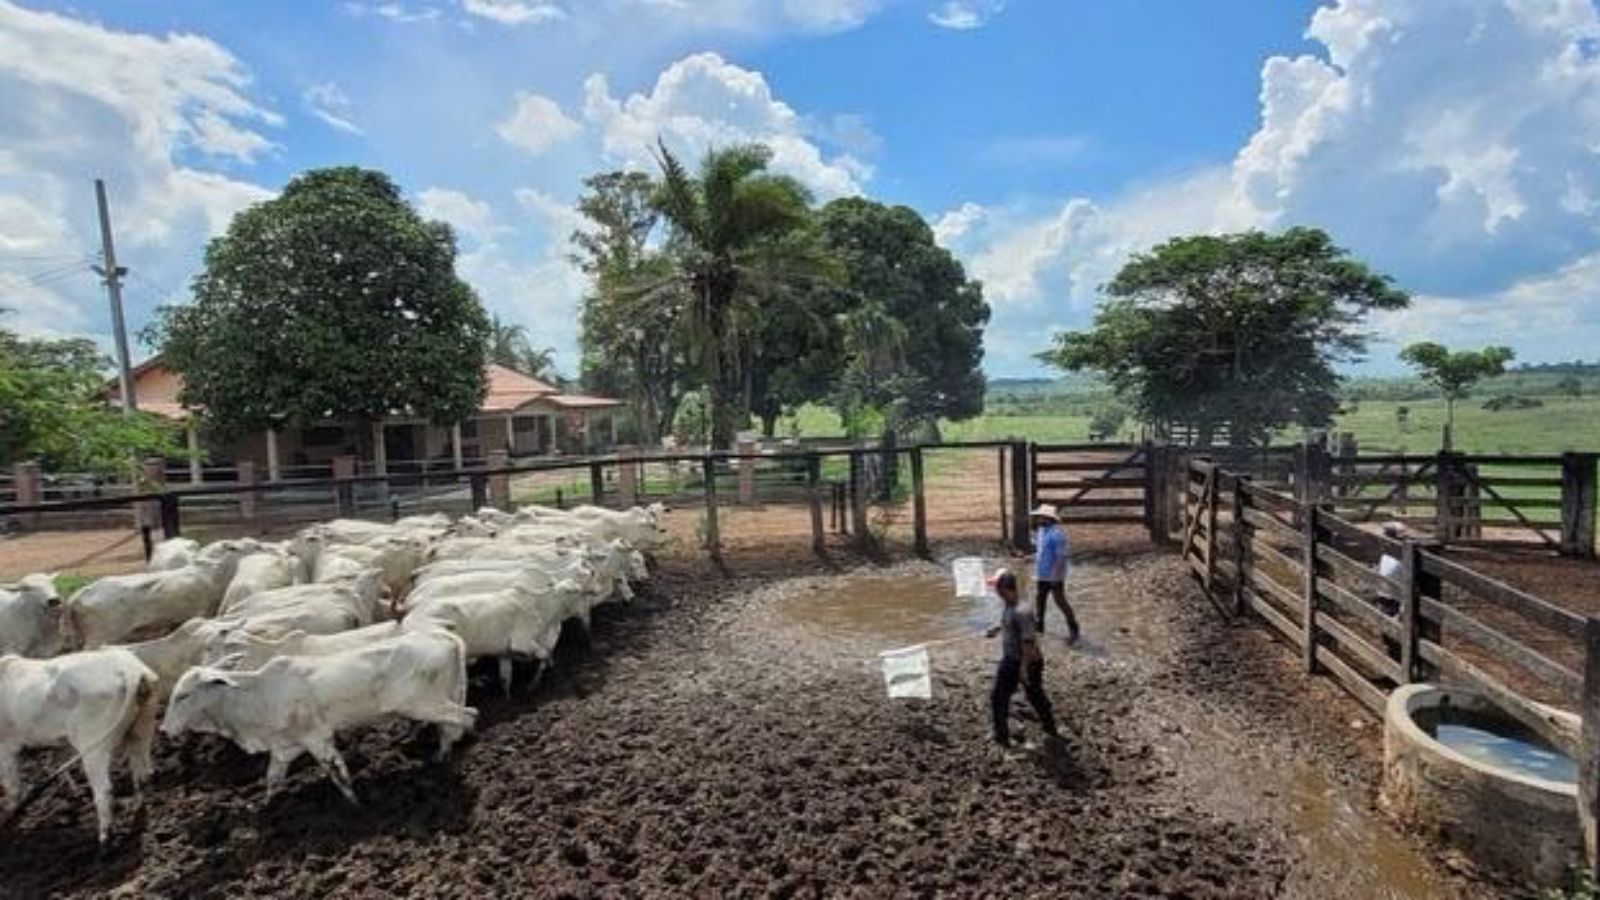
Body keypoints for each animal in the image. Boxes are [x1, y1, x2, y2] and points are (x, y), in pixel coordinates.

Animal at [0, 643, 159, 839]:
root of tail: (130, 669)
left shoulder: (4, 745)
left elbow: (11, 782)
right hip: (143, 726)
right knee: (142, 775)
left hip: (93, 745)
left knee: (104, 790)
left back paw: (104, 837)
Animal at [162, 624, 473, 797]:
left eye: (183, 695)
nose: (164, 730)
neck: (257, 693)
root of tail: (445, 638)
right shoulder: (284, 747)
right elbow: (272, 782)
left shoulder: (317, 738)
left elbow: (339, 776)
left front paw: (357, 805)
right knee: (452, 724)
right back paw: (441, 757)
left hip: (422, 704)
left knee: (466, 717)